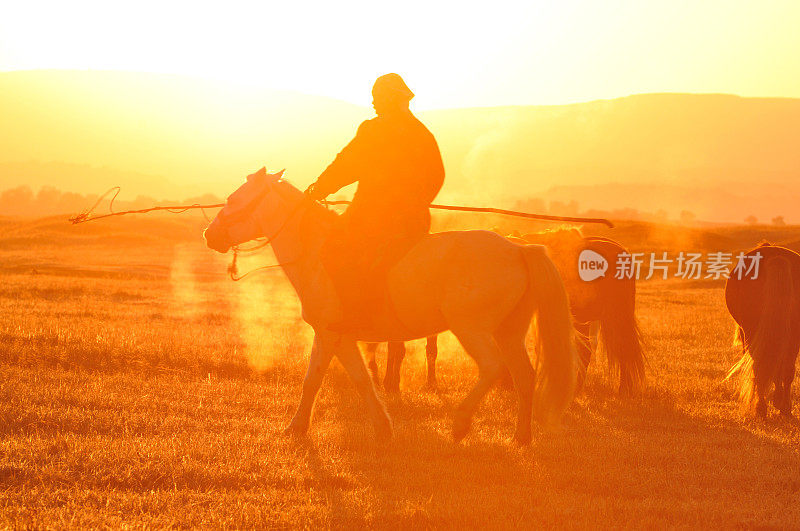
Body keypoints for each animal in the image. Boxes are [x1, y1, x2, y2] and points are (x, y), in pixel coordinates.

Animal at [203, 169, 580, 444]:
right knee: (524, 376)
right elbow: (340, 379)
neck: (317, 251)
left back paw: (460, 423)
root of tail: (518, 249)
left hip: (471, 329)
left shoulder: (331, 334)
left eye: (234, 199)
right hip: (509, 332)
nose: (210, 234)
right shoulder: (334, 337)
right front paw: (375, 427)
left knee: (492, 368)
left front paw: (302, 428)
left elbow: (333, 380)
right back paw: (521, 436)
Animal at [724, 242, 800, 420]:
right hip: (793, 335)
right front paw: (778, 400)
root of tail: (776, 257)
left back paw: (762, 407)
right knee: (786, 369)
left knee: (759, 366)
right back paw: (782, 408)